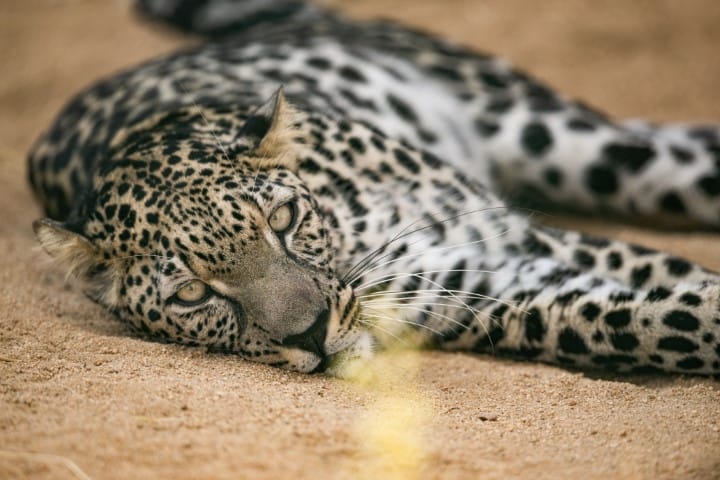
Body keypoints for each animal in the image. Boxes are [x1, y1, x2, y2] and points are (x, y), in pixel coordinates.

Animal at [26, 0, 720, 376]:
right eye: (193, 294)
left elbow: (676, 287)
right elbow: (645, 322)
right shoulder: (493, 286)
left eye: (282, 220)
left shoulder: (515, 235)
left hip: (560, 137)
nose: (310, 334)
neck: (352, 230)